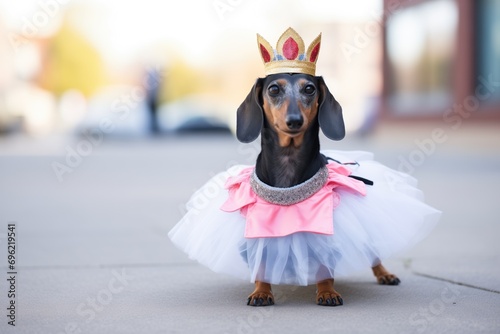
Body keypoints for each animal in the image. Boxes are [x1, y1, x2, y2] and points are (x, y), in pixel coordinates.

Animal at [236, 73, 400, 308]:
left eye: (309, 89)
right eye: (274, 89)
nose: (295, 120)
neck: (289, 159)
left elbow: (325, 265)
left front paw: (326, 291)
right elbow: (261, 265)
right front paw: (261, 291)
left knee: (372, 253)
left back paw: (385, 274)